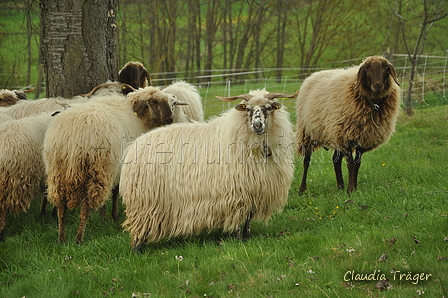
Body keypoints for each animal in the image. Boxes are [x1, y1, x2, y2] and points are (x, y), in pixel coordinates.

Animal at [43, 86, 180, 244]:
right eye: (152, 102)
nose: (169, 120)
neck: (139, 118)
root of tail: (71, 139)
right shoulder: (118, 167)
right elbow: (115, 191)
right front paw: (113, 216)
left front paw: (103, 217)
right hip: (96, 169)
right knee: (86, 207)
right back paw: (79, 238)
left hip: (56, 172)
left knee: (61, 206)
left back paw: (62, 238)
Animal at [121, 88, 300, 251]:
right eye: (248, 109)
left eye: (268, 108)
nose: (257, 125)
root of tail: (135, 145)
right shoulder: (236, 191)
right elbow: (237, 217)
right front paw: (237, 239)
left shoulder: (255, 189)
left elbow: (248, 217)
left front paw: (247, 237)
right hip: (145, 201)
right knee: (139, 225)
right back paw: (138, 249)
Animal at [296, 56, 400, 194]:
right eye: (367, 69)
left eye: (386, 69)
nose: (378, 86)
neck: (373, 103)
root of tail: (313, 75)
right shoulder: (345, 137)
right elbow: (350, 164)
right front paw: (350, 189)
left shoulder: (361, 138)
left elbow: (357, 164)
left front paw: (354, 187)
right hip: (308, 132)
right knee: (306, 161)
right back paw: (302, 189)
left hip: (334, 133)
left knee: (336, 160)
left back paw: (340, 186)